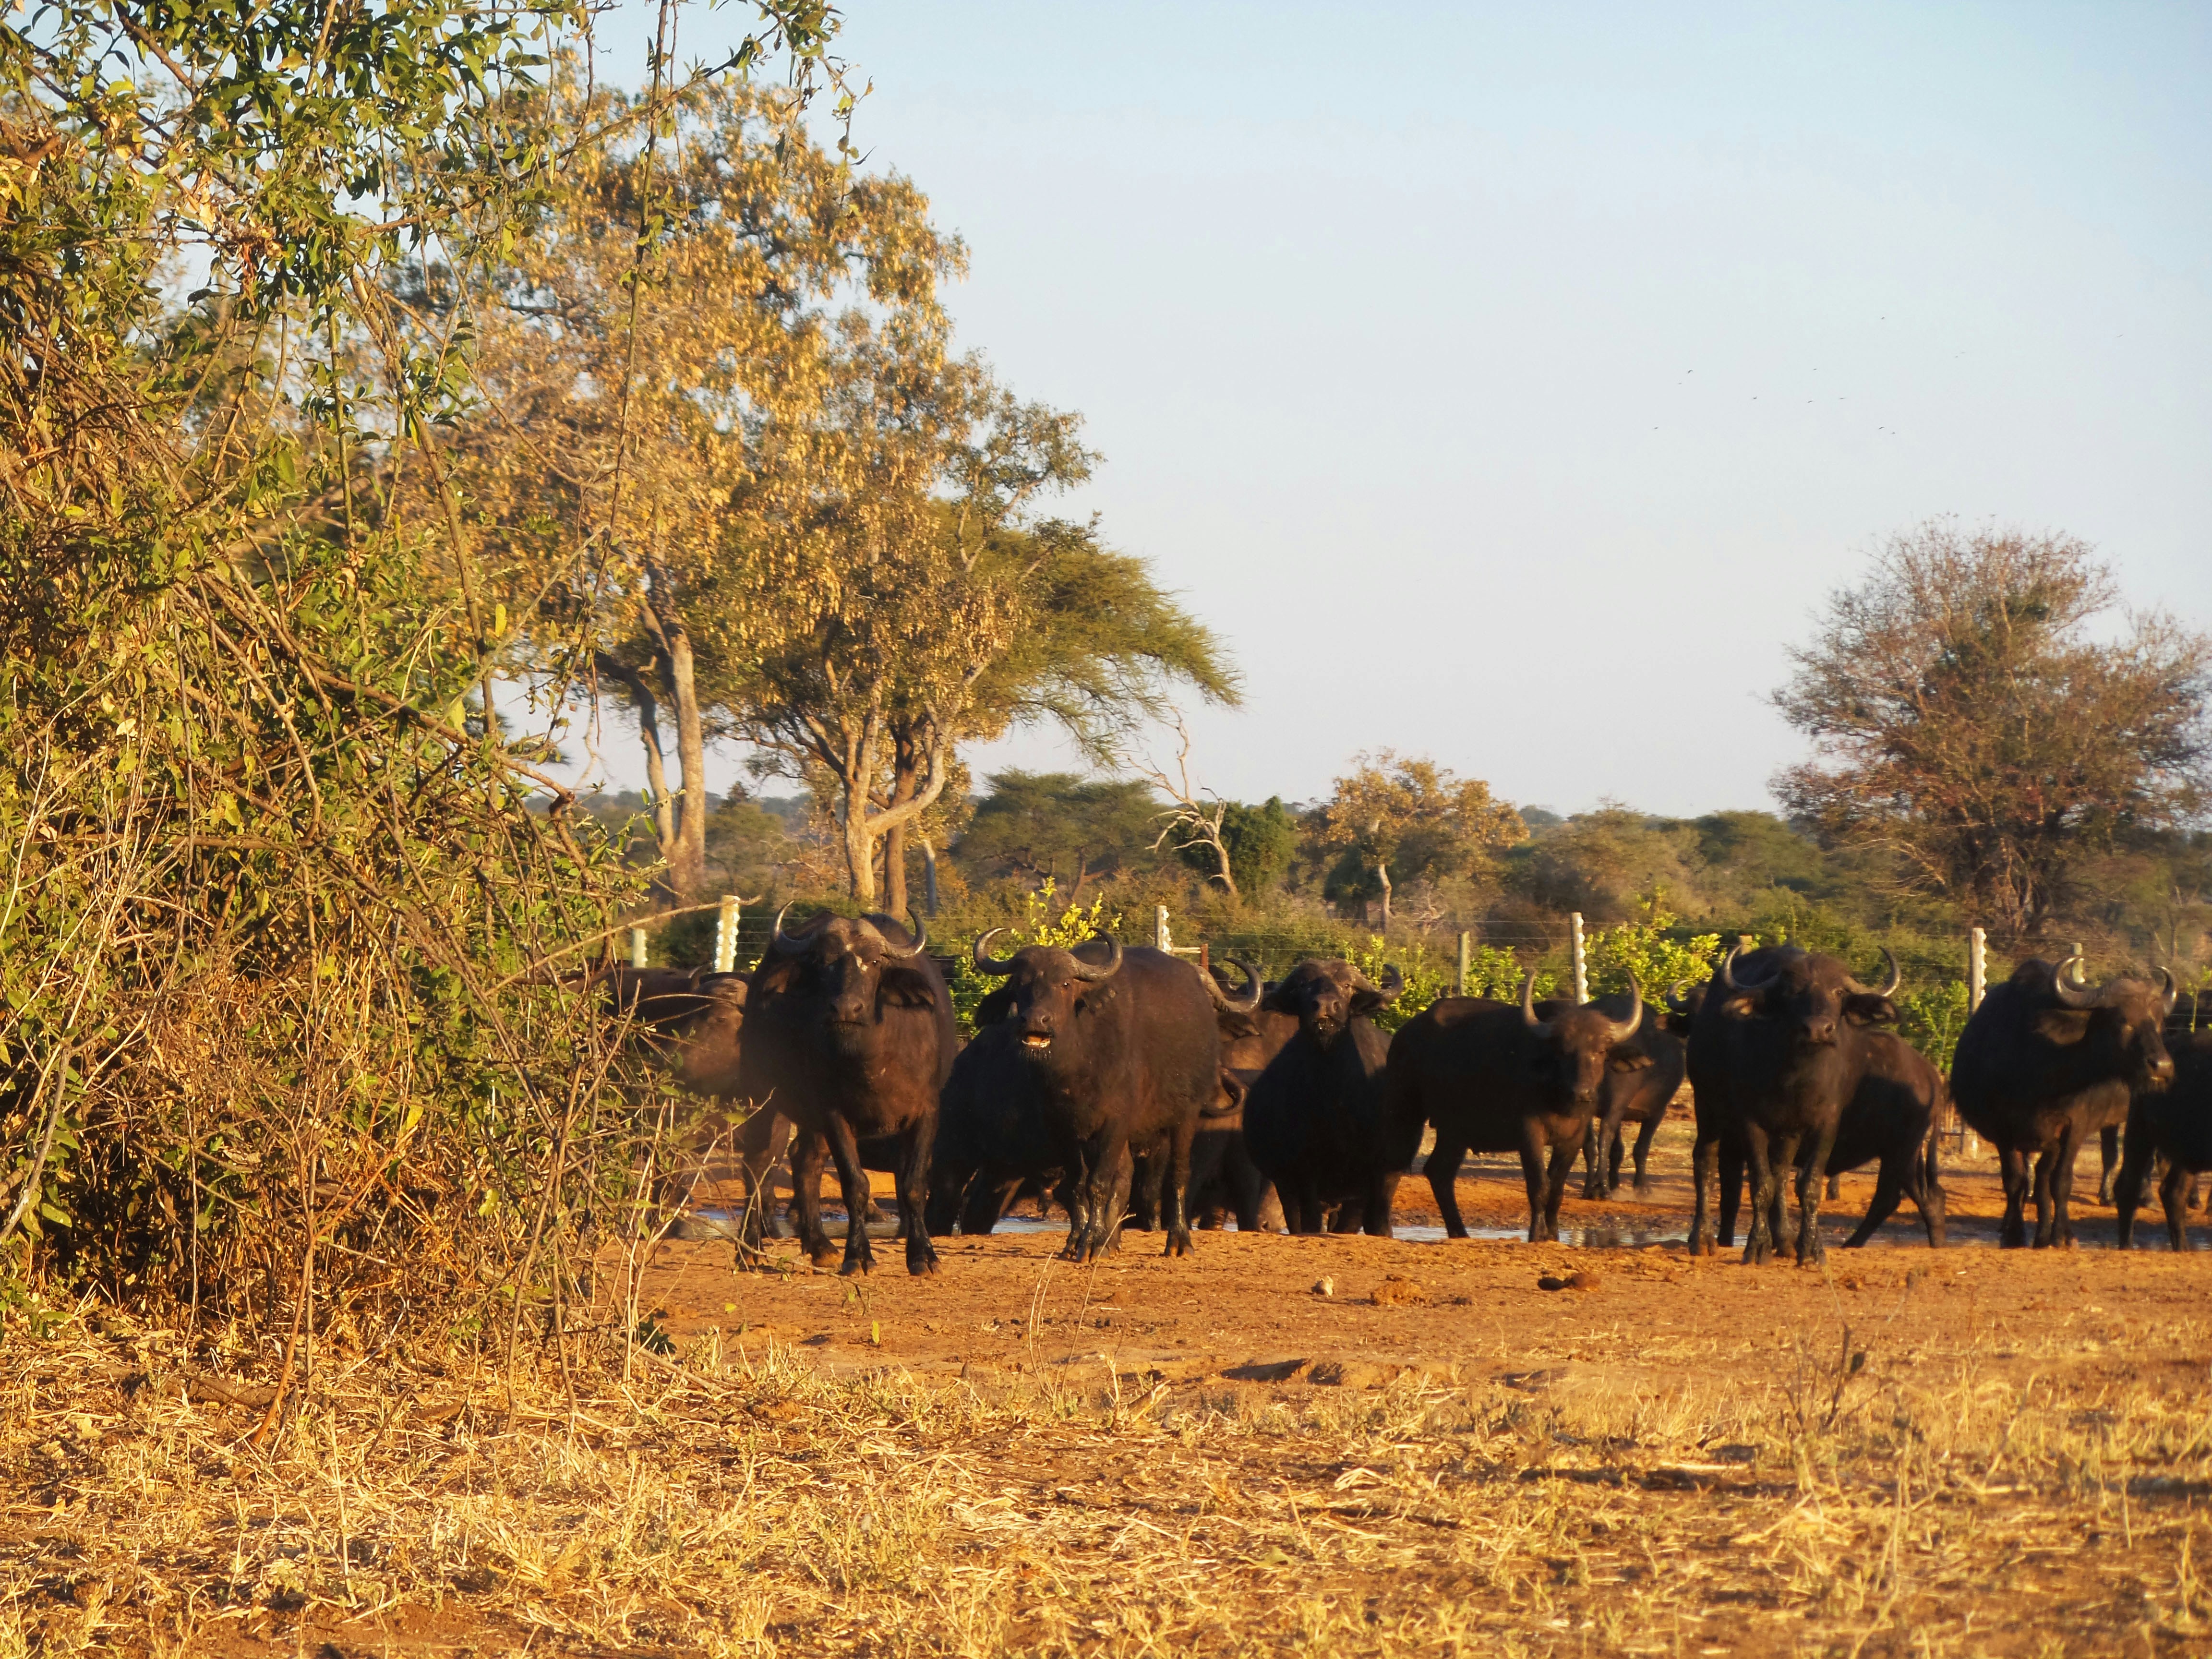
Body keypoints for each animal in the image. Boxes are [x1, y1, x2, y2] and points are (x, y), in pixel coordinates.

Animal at [736, 909, 955, 1275]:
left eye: (875, 961)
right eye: (823, 962)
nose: (845, 1009)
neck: (872, 1062)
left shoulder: (928, 1112)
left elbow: (913, 1184)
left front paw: (923, 1256)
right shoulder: (835, 1115)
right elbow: (856, 1185)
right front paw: (858, 1255)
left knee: (804, 1159)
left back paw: (820, 1246)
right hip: (761, 1094)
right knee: (757, 1162)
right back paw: (749, 1249)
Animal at [966, 931, 1221, 1259]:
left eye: (1065, 984)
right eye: (1019, 983)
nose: (1035, 1020)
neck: (1077, 1069)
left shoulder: (1115, 1123)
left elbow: (1099, 1184)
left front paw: (1092, 1243)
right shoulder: (1061, 1128)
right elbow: (1079, 1184)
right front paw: (1076, 1240)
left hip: (1186, 1115)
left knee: (1178, 1174)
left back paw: (1178, 1242)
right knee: (1125, 1177)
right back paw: (1113, 1241)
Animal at [1384, 974, 1648, 1243]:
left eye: (1601, 1051)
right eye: (1563, 1051)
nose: (1582, 1093)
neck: (1559, 1100)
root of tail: (1405, 1034)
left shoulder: (1574, 1139)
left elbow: (1557, 1188)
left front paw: (1553, 1235)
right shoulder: (1529, 1134)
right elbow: (1540, 1185)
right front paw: (1536, 1235)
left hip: (1455, 1130)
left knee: (1440, 1172)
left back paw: (1460, 1232)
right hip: (1404, 1109)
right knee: (1393, 1166)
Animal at [1951, 957, 2176, 1248]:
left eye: (2158, 1022)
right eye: (2123, 1020)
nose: (2162, 1066)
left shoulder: (2073, 1129)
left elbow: (2061, 1182)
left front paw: (2062, 1235)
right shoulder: (2004, 1132)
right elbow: (2014, 1181)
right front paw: (2014, 1234)